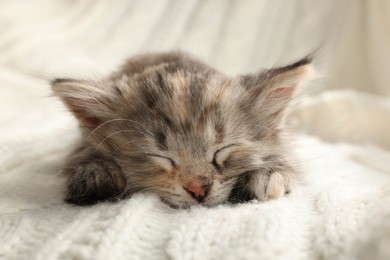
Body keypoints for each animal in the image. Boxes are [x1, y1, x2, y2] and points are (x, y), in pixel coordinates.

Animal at [52, 51, 314, 208]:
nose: (198, 189)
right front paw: (95, 175)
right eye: (161, 157)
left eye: (223, 150)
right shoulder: (81, 144)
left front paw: (268, 174)